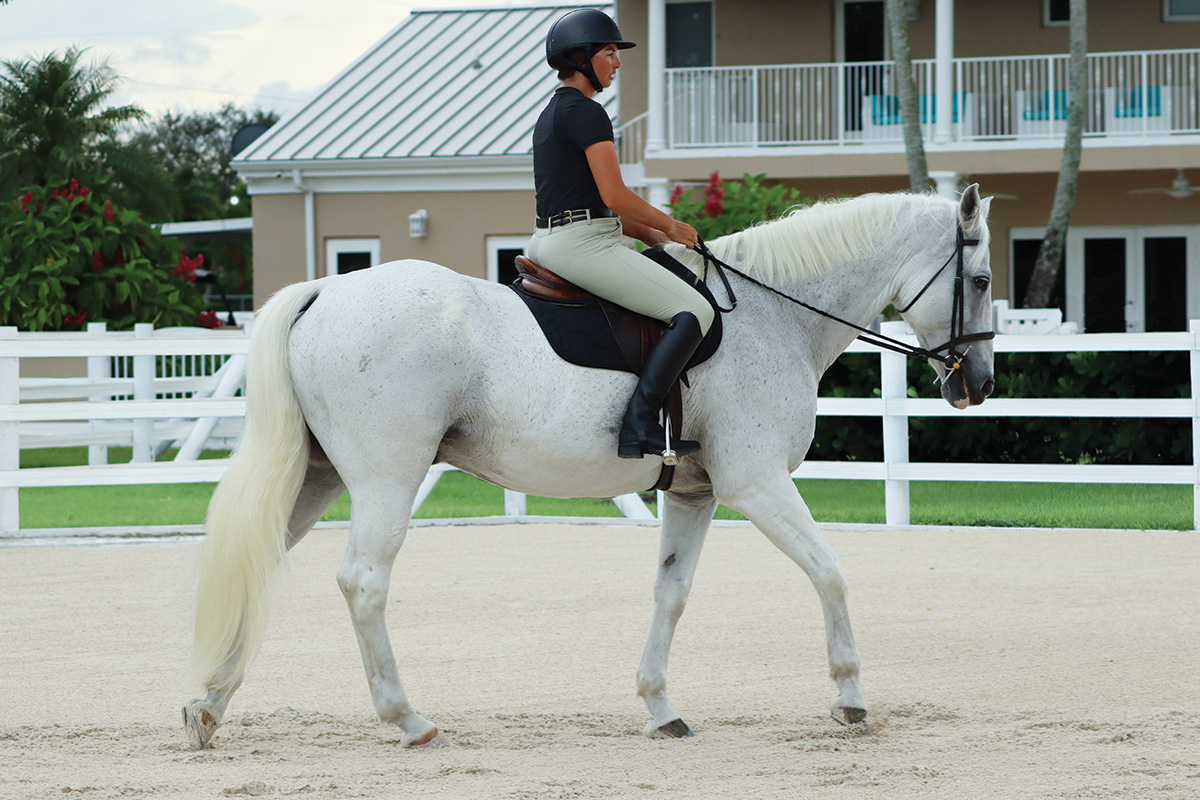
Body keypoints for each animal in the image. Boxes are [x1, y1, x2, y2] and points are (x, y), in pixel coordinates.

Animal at [184, 185, 993, 753]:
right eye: (982, 280)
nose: (977, 383)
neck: (775, 318)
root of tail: (326, 290)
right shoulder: (757, 483)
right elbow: (830, 571)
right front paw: (851, 700)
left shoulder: (695, 495)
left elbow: (671, 593)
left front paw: (661, 709)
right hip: (387, 478)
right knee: (364, 583)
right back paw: (408, 720)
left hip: (316, 478)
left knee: (258, 564)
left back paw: (206, 707)